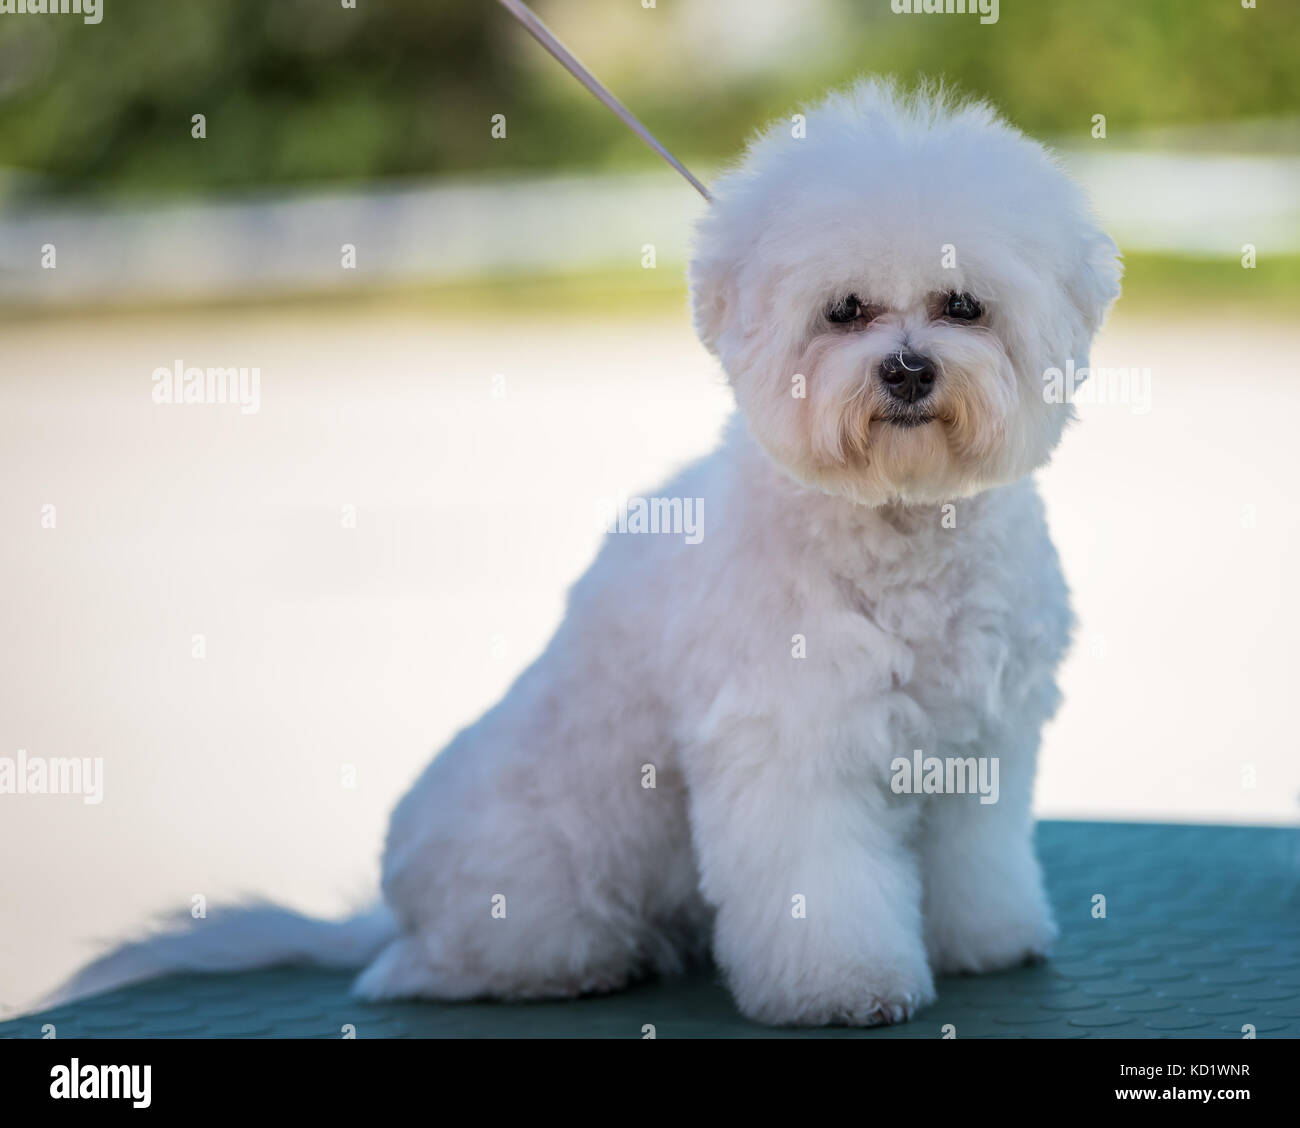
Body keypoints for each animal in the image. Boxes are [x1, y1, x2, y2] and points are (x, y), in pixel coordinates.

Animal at [58, 81, 1118, 1029]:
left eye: (964, 305)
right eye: (844, 309)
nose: (906, 370)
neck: (898, 528)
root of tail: (395, 911)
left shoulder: (982, 747)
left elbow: (977, 864)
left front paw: (986, 941)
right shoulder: (792, 750)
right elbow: (822, 891)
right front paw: (844, 987)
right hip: (538, 894)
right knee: (424, 972)